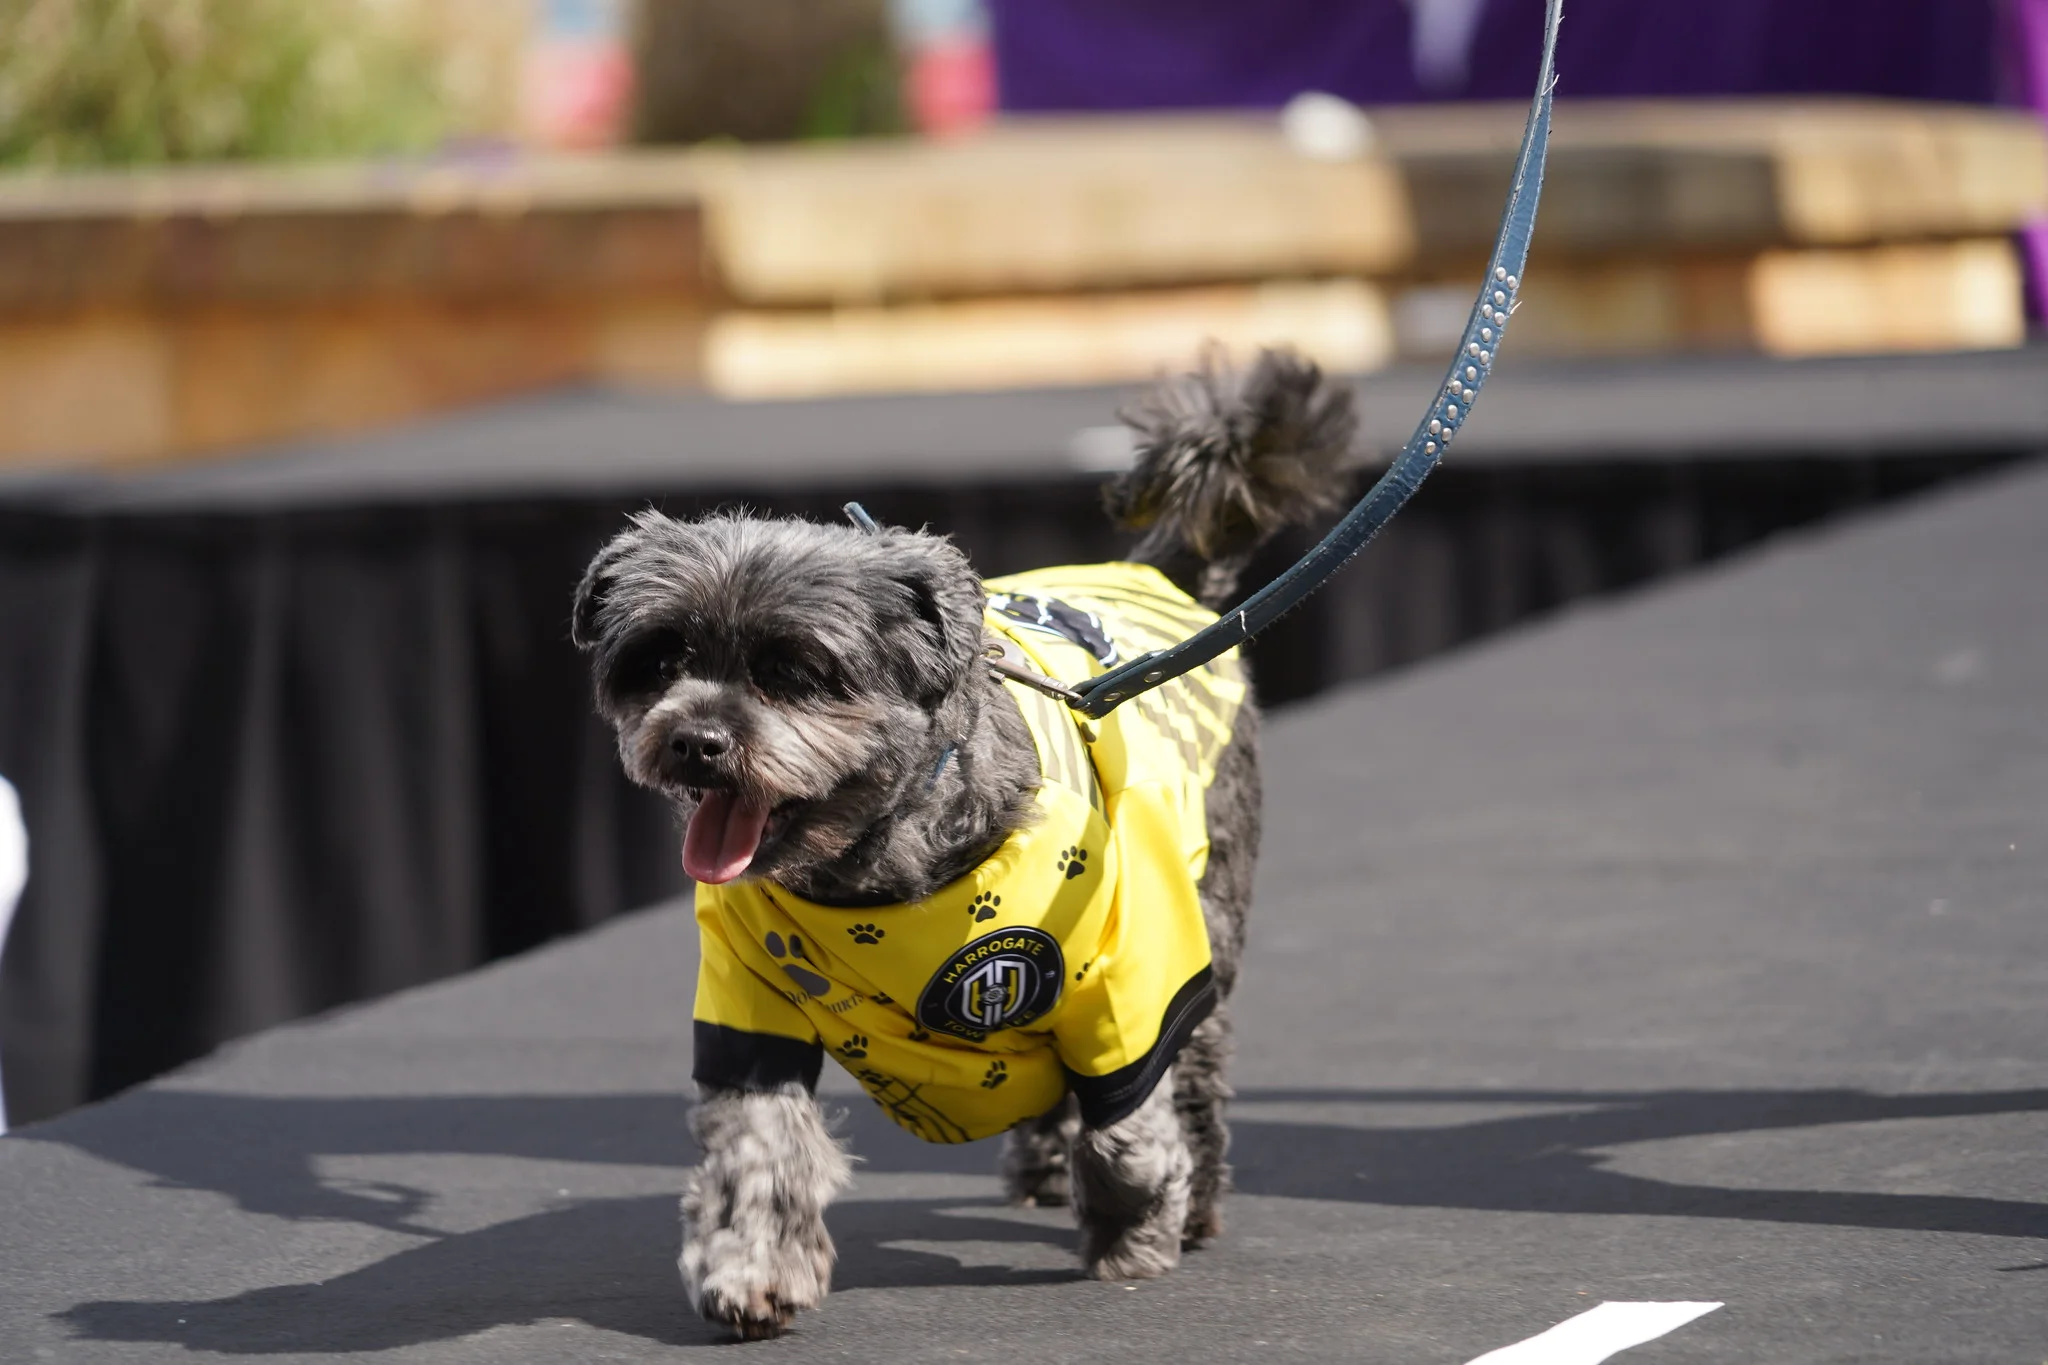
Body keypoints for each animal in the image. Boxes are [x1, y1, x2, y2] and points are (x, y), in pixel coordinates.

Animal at [573, 347, 1359, 1342]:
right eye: (662, 657)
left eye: (793, 670)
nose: (695, 740)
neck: (880, 874)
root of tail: (1162, 580)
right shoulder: (751, 1005)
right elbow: (759, 1147)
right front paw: (750, 1271)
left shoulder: (1131, 970)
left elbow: (1130, 1120)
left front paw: (1135, 1225)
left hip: (1208, 907)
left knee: (1192, 1070)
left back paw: (1192, 1197)